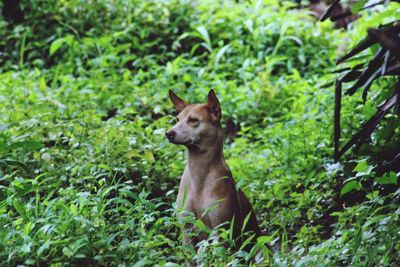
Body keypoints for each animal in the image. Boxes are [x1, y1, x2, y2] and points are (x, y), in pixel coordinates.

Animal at [165, 90, 260, 262]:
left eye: (193, 120)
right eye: (177, 119)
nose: (168, 133)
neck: (199, 176)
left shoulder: (220, 232)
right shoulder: (186, 230)